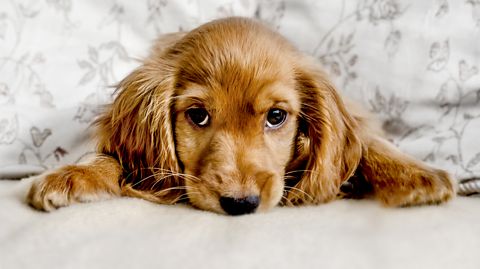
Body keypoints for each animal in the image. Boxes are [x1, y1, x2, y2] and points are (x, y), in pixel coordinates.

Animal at [27, 16, 458, 215]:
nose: (241, 204)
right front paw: (71, 175)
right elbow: (107, 157)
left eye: (276, 116)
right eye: (198, 116)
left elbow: (369, 141)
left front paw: (415, 174)